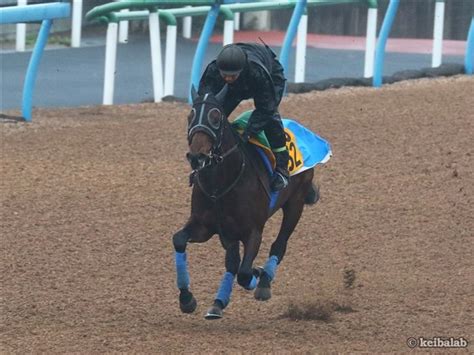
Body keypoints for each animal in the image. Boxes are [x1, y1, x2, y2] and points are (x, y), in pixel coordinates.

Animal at [172, 84, 320, 320]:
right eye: (190, 116)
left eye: (216, 116)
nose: (197, 157)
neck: (220, 186)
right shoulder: (207, 227)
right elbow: (178, 240)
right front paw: (187, 299)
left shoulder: (253, 231)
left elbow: (243, 273)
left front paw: (257, 275)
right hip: (229, 233)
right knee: (232, 263)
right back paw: (218, 302)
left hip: (295, 203)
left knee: (279, 244)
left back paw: (264, 281)